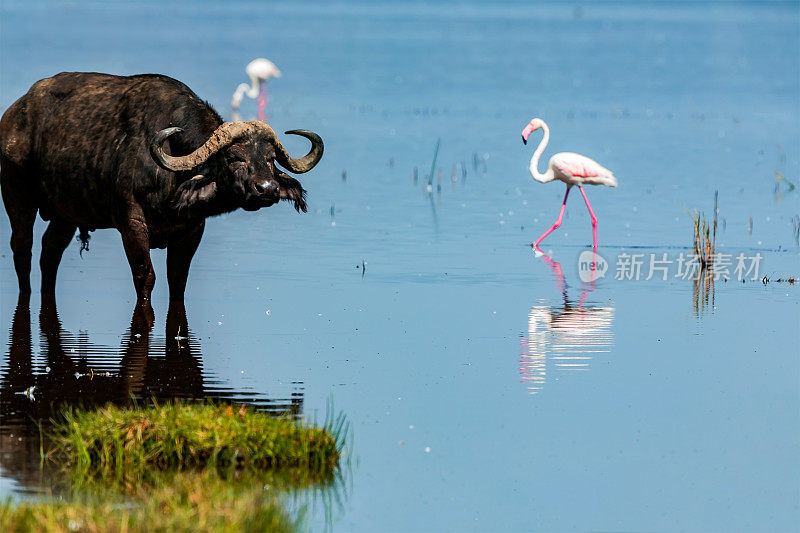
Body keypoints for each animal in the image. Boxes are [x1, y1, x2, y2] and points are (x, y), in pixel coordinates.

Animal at [2, 71, 324, 300]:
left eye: (270, 159)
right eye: (234, 158)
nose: (267, 189)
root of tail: (15, 113)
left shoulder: (192, 230)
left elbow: (177, 281)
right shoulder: (131, 224)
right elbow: (145, 278)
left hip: (67, 213)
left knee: (50, 252)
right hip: (17, 197)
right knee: (22, 249)